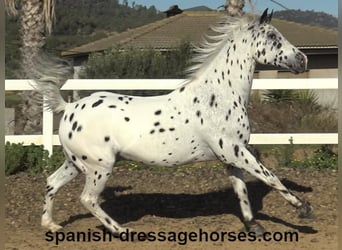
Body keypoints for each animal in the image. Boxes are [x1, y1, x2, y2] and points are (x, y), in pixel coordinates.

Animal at [35, 9, 312, 236]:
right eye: (274, 37)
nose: (303, 60)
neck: (217, 96)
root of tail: (69, 108)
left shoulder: (230, 158)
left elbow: (241, 190)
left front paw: (253, 226)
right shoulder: (235, 151)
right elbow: (271, 177)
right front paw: (304, 210)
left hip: (75, 163)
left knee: (52, 182)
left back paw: (51, 224)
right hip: (99, 167)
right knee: (88, 199)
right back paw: (122, 230)